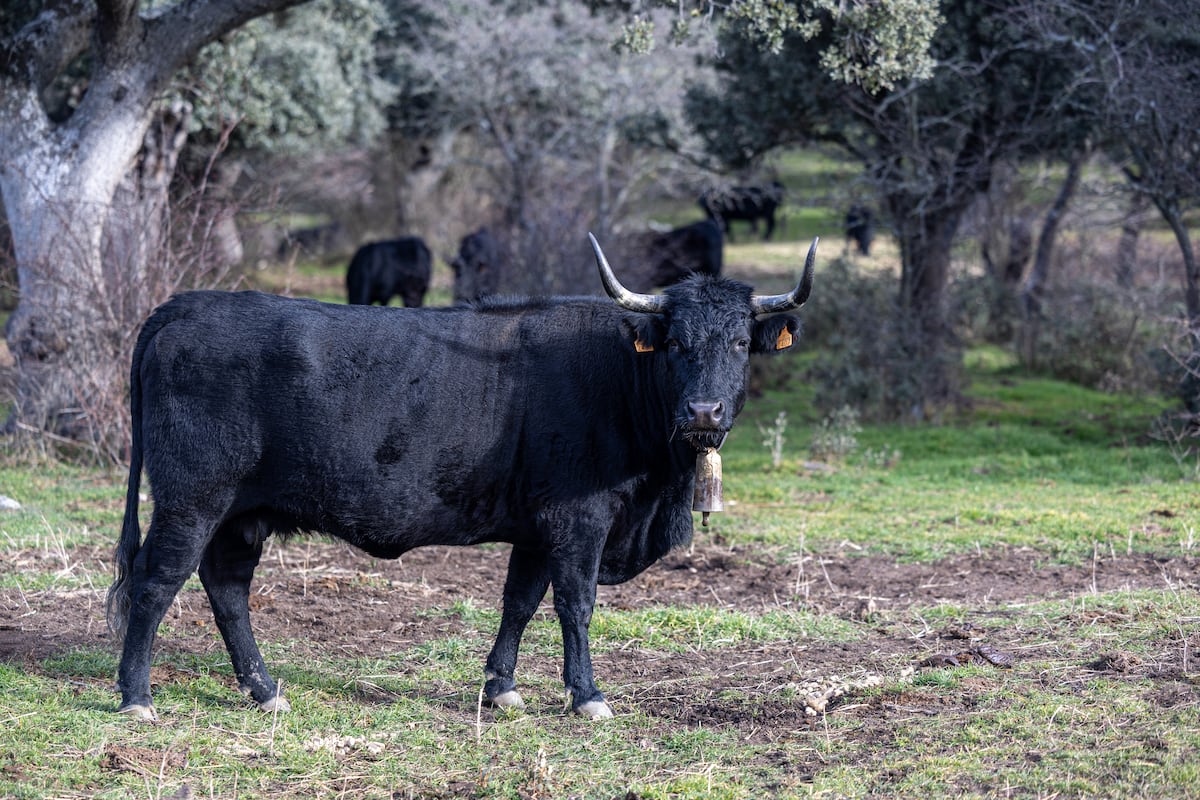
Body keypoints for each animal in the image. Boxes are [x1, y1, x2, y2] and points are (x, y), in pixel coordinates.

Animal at [105, 235, 816, 724]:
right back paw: (137, 696)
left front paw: (501, 688)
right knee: (156, 581)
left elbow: (520, 602)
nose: (703, 412)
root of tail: (185, 305)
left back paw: (264, 689)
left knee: (226, 588)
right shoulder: (579, 520)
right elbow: (576, 603)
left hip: (240, 514)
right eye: (674, 343)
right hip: (192, 500)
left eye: (739, 343)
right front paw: (587, 695)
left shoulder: (537, 527)